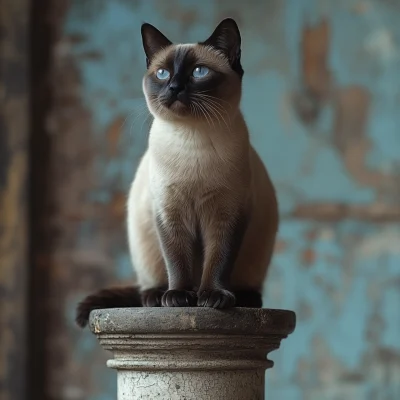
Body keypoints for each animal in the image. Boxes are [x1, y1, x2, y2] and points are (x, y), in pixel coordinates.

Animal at [77, 17, 278, 326]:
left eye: (199, 72)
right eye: (162, 73)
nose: (173, 87)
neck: (192, 139)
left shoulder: (227, 213)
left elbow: (218, 259)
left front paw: (213, 298)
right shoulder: (169, 211)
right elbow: (177, 259)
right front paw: (179, 298)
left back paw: (238, 298)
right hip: (145, 242)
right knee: (148, 284)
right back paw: (158, 297)